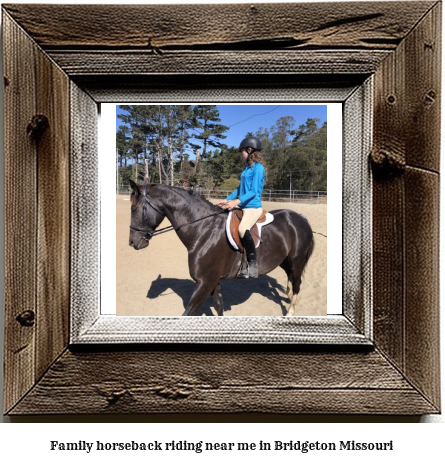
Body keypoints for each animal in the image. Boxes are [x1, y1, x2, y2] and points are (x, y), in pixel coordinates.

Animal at [128, 181, 314, 316]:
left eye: (134, 208)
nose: (133, 243)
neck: (203, 230)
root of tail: (300, 217)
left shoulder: (205, 282)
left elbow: (188, 313)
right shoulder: (212, 281)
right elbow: (218, 307)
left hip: (297, 259)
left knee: (297, 282)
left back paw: (290, 312)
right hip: (283, 259)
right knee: (290, 277)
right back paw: (288, 295)